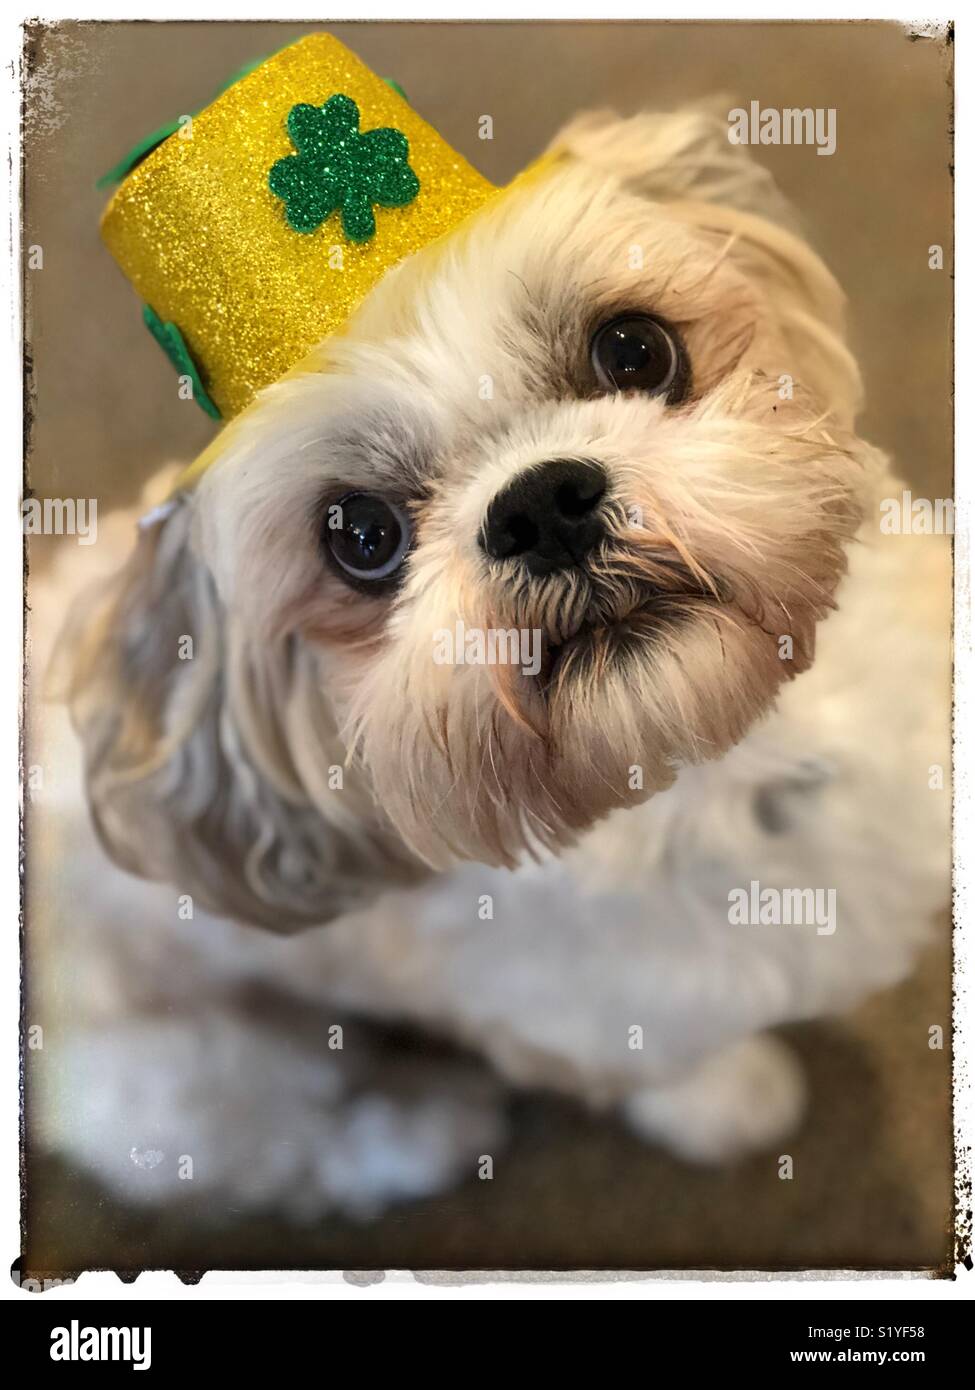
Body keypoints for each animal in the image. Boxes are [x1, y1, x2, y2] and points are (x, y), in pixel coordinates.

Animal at [30, 105, 951, 1217]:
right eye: (360, 535)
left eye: (634, 347)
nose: (541, 506)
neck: (699, 773)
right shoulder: (582, 1024)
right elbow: (665, 1068)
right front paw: (731, 1098)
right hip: (167, 1079)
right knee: (282, 1137)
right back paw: (423, 1126)